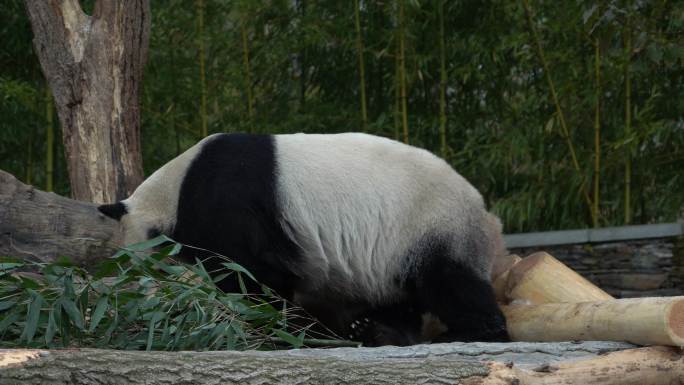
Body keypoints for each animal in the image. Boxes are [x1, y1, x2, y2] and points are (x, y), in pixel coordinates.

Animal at [99, 132, 510, 344]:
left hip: (430, 225)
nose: (155, 290)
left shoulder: (228, 204)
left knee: (450, 283)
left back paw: (470, 333)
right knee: (399, 296)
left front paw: (267, 324)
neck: (174, 190)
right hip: (391, 256)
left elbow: (252, 273)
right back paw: (377, 331)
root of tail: (486, 214)